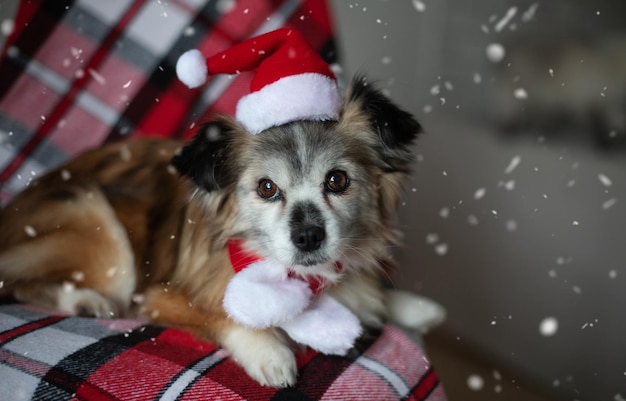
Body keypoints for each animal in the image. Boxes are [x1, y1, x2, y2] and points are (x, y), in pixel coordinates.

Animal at [0, 74, 442, 384]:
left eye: (337, 180)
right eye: (267, 188)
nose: (308, 236)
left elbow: (373, 295)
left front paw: (412, 306)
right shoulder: (158, 297)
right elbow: (227, 315)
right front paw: (270, 352)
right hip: (99, 222)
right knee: (19, 282)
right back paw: (83, 300)